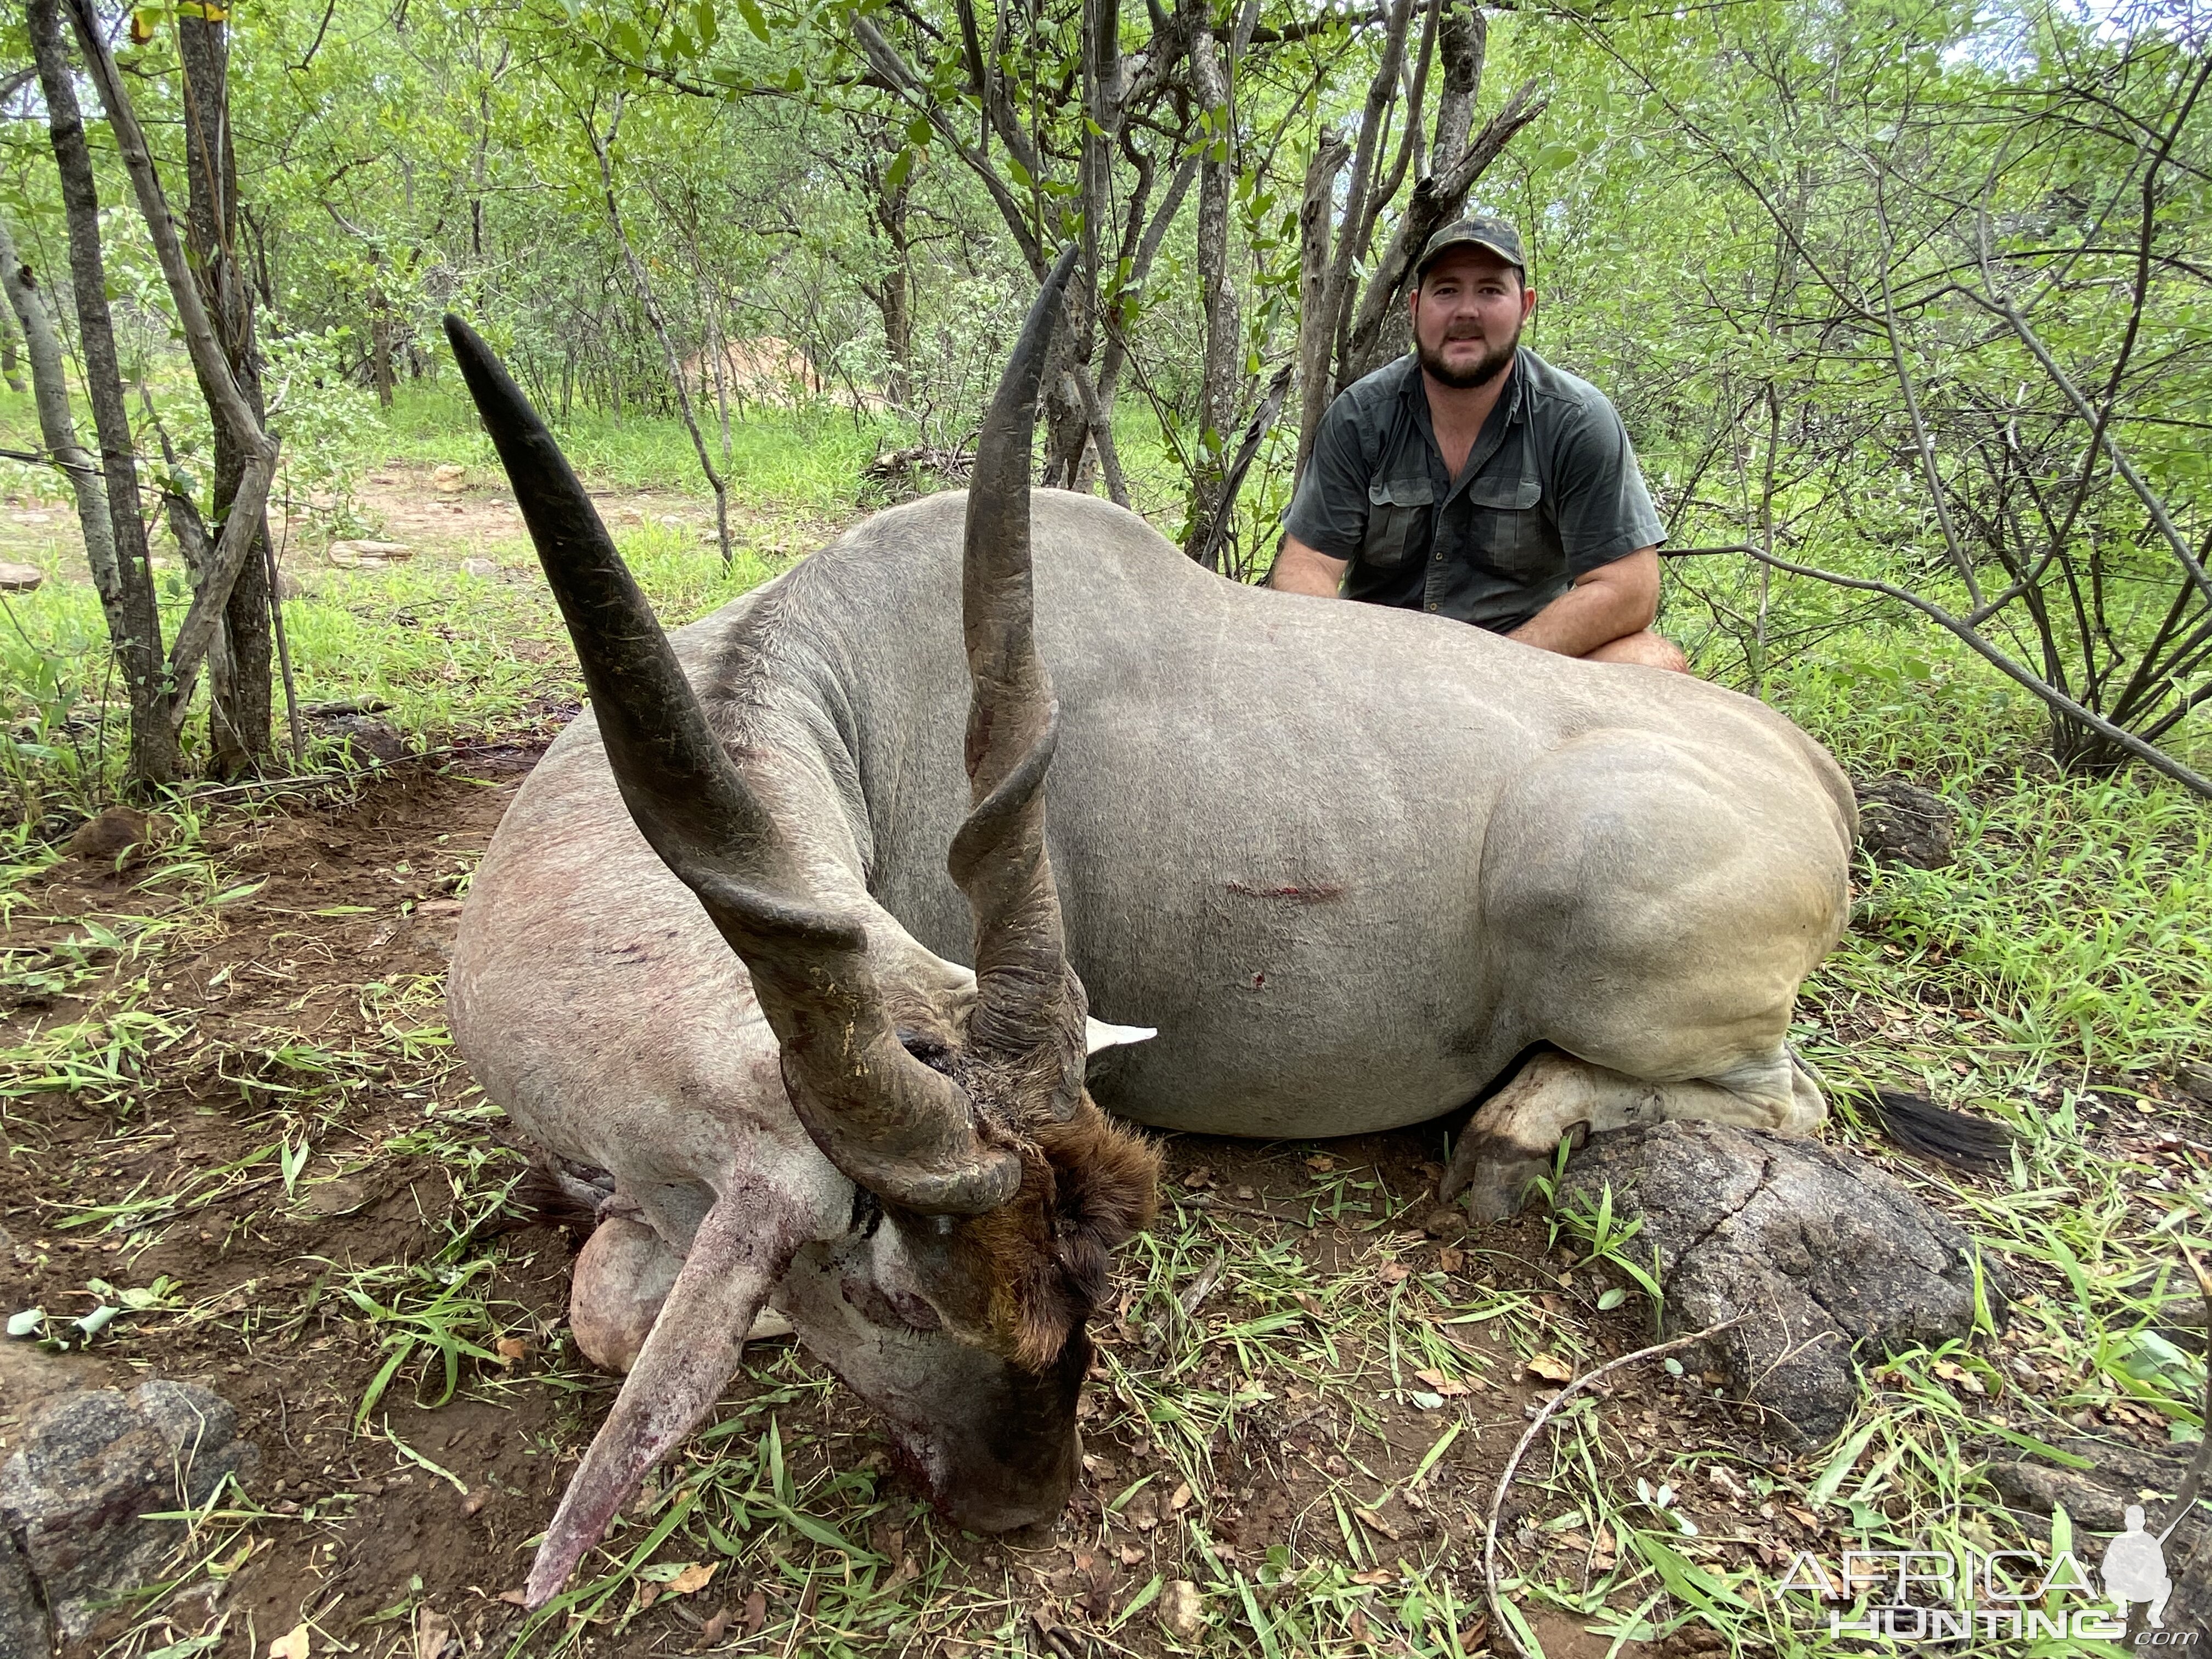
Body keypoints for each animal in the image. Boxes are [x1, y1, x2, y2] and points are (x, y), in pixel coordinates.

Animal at [444, 259, 1955, 1610]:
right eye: (895, 1303)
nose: (1027, 1501)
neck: (821, 689)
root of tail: (1818, 772)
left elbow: (620, 1306)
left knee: (1790, 1100)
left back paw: (1511, 1132)